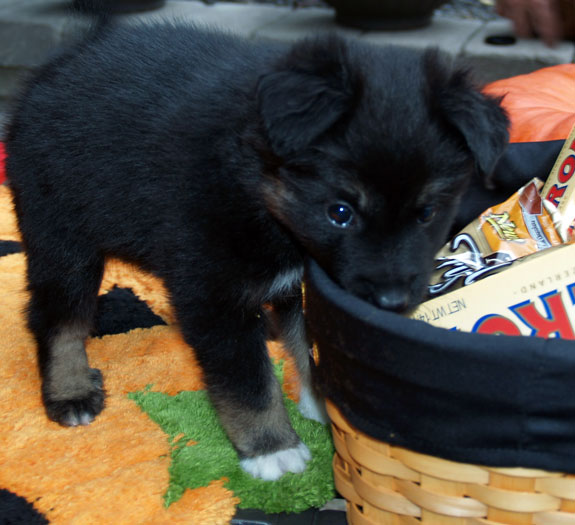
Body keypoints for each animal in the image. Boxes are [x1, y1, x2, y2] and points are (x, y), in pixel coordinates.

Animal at [4, 20, 508, 478]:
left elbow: (308, 341)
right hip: (61, 235)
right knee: (57, 317)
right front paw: (273, 449)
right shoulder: (212, 292)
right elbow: (248, 380)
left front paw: (323, 400)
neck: (256, 187)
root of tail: (54, 69)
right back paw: (70, 390)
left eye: (427, 214)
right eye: (340, 212)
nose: (392, 302)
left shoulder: (302, 284)